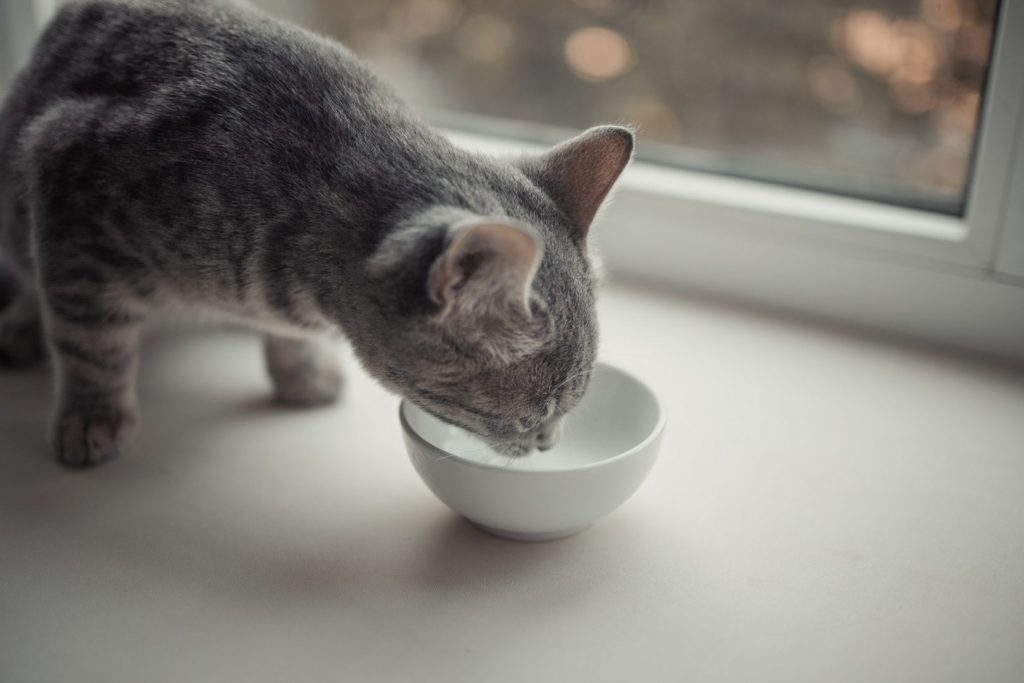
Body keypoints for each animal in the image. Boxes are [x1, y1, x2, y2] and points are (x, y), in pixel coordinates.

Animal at [0, 0, 630, 466]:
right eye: (533, 416)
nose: (548, 443)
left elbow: (289, 340)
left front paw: (301, 372)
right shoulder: (69, 180)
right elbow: (92, 343)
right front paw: (93, 415)